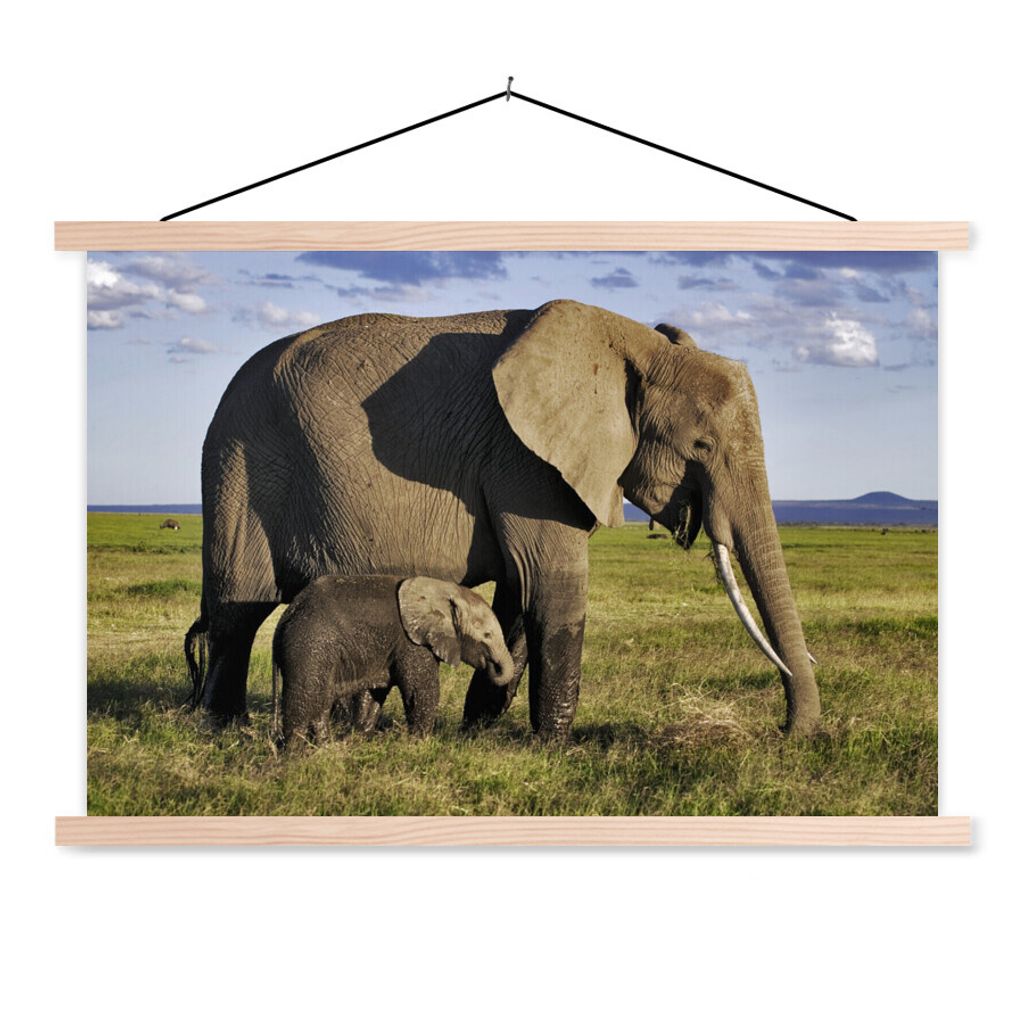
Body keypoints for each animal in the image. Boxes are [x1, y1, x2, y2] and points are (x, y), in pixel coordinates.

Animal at [271, 575, 514, 746]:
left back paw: (324, 748)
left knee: (320, 701)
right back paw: (295, 756)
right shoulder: (412, 642)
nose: (492, 667)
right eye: (487, 636)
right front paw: (420, 744)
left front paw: (360, 738)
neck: (444, 590)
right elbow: (421, 691)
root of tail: (286, 617)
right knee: (304, 700)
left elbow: (374, 694)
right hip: (308, 646)